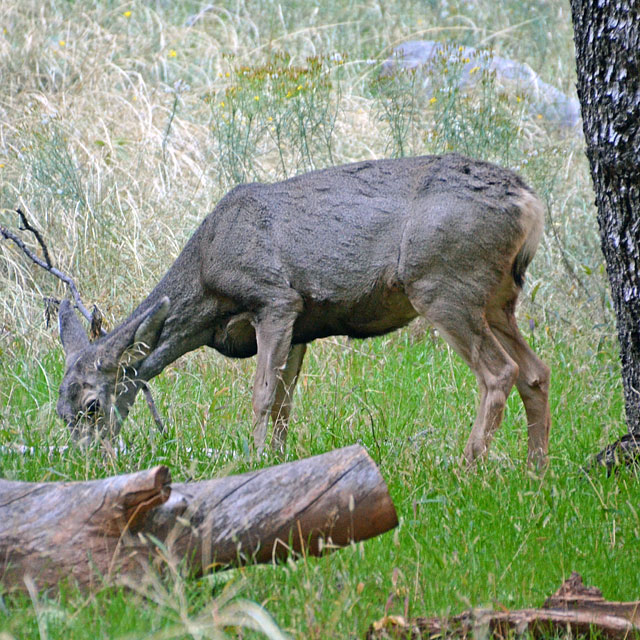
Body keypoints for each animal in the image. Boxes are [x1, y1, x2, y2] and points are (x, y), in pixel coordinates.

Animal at [56, 154, 552, 464]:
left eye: (92, 406)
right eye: (60, 413)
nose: (87, 463)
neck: (207, 279)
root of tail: (529, 200)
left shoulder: (275, 298)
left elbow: (261, 397)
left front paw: (254, 461)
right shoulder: (300, 327)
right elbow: (283, 405)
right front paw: (277, 462)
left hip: (442, 281)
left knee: (499, 372)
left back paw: (466, 467)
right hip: (496, 298)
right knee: (535, 371)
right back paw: (536, 472)